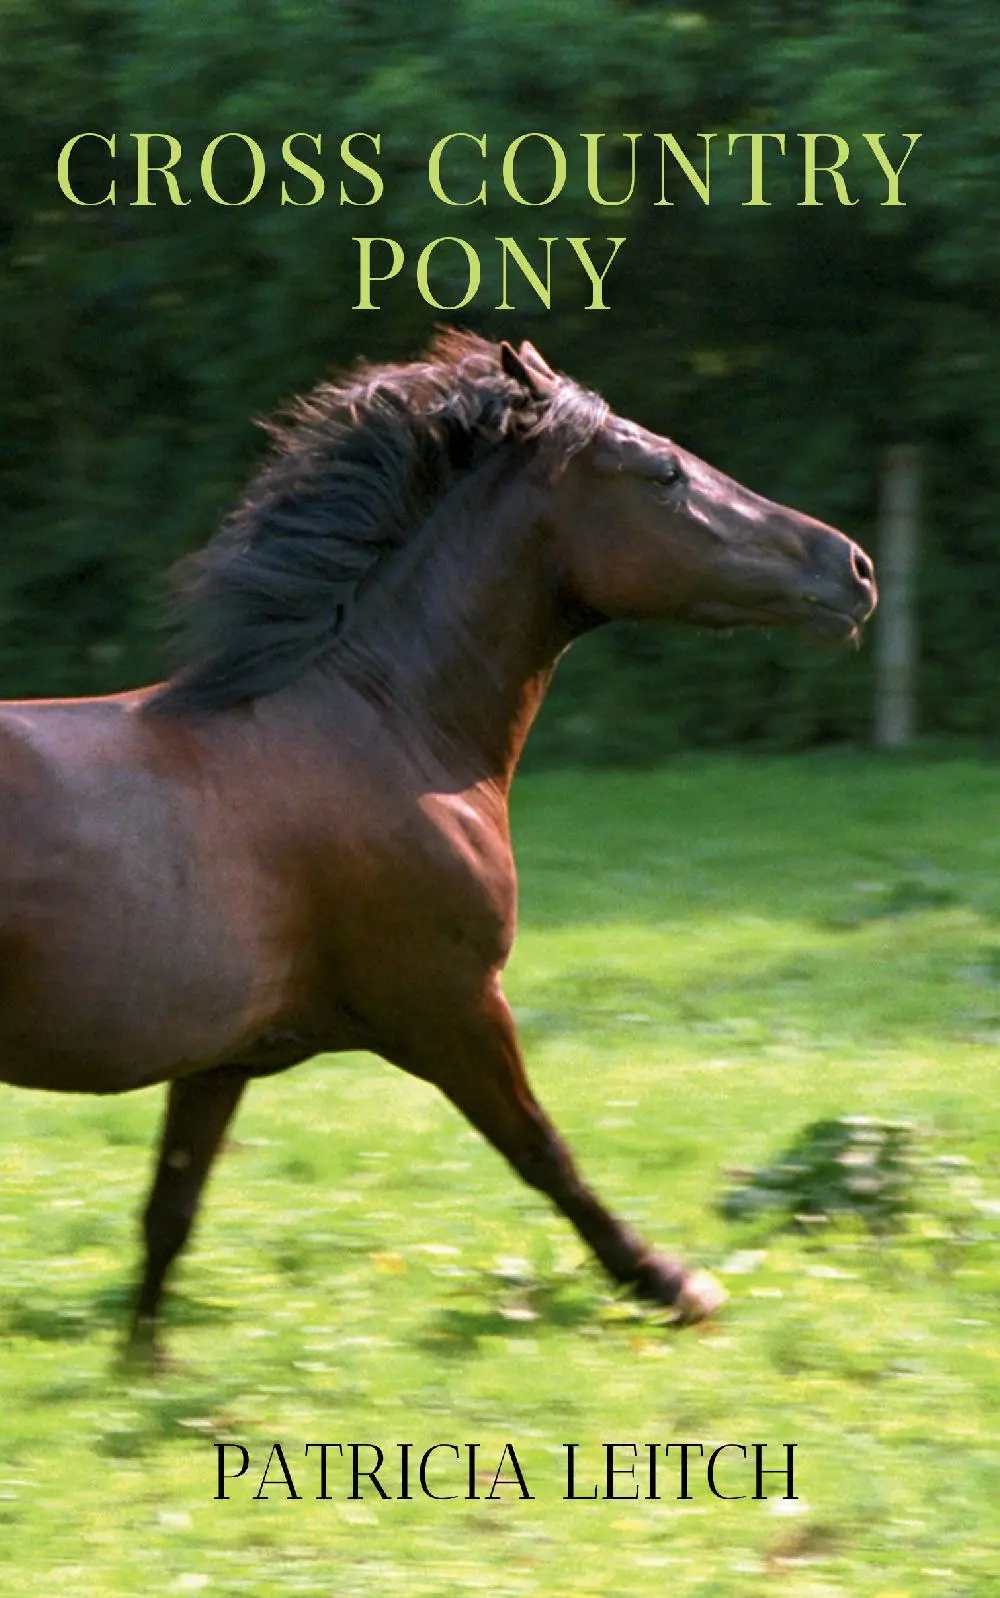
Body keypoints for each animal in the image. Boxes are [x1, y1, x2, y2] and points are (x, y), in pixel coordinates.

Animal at [0, 332, 876, 1355]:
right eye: (662, 471)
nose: (853, 567)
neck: (388, 725)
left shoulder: (219, 1058)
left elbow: (169, 1211)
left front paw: (143, 1365)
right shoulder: (449, 1006)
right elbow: (546, 1155)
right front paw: (674, 1285)